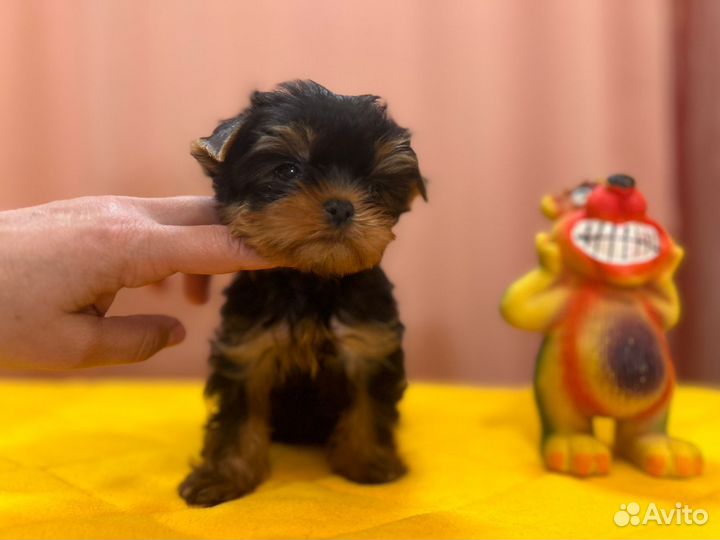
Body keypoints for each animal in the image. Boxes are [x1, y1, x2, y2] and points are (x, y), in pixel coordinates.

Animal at [179, 80, 424, 506]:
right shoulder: (247, 349)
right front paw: (224, 477)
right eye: (287, 169)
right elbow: (238, 419)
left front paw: (369, 465)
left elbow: (368, 406)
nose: (342, 206)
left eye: (375, 187)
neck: (312, 278)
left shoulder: (369, 343)